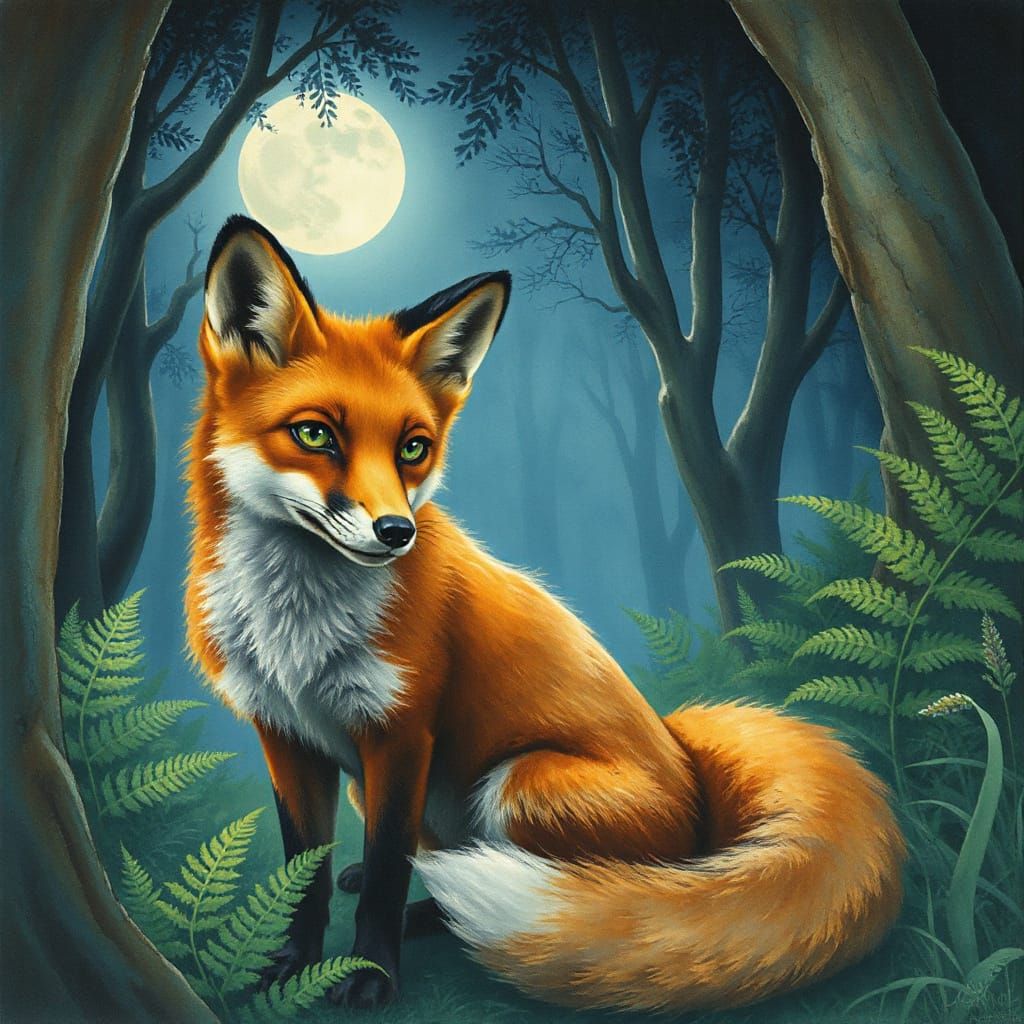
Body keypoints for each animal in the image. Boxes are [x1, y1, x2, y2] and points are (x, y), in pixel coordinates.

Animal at [185, 214, 905, 1012]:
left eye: (413, 448)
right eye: (315, 435)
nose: (396, 532)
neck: (296, 628)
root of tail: (690, 773)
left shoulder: (402, 735)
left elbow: (384, 881)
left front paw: (369, 973)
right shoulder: (285, 736)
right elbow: (303, 875)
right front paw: (288, 967)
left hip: (518, 784)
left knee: (541, 884)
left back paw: (448, 916)